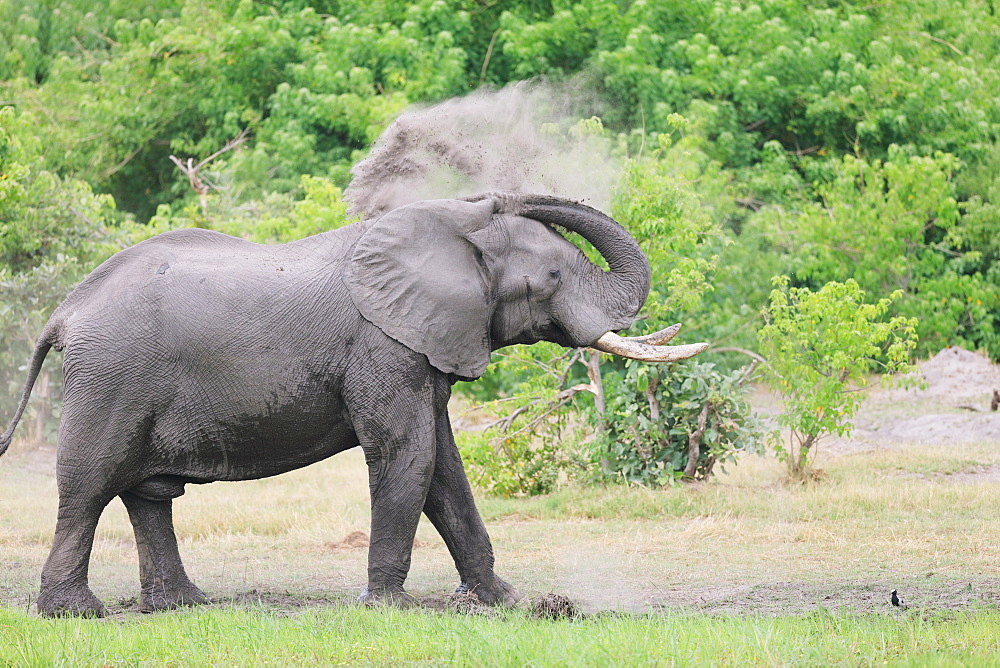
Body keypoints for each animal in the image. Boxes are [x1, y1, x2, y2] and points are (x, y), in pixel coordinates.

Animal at [0, 192, 708, 616]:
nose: (493, 193)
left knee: (147, 494)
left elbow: (445, 468)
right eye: (555, 277)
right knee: (88, 486)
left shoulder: (424, 347)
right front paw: (387, 608)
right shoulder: (382, 346)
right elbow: (409, 457)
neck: (449, 239)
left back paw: (184, 606)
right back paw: (75, 613)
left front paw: (505, 602)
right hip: (110, 380)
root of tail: (65, 311)